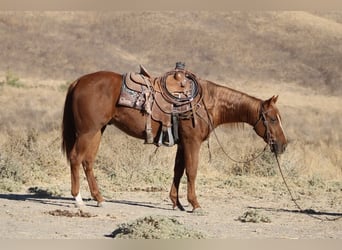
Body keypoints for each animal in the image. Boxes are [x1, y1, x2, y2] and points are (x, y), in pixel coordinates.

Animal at [61, 69, 286, 213]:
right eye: (273, 119)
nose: (282, 145)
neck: (208, 103)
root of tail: (78, 82)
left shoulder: (182, 143)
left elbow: (178, 170)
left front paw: (176, 203)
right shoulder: (192, 142)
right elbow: (192, 171)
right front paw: (195, 204)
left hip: (98, 131)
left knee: (88, 162)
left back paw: (99, 199)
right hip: (87, 131)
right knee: (75, 158)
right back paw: (78, 199)